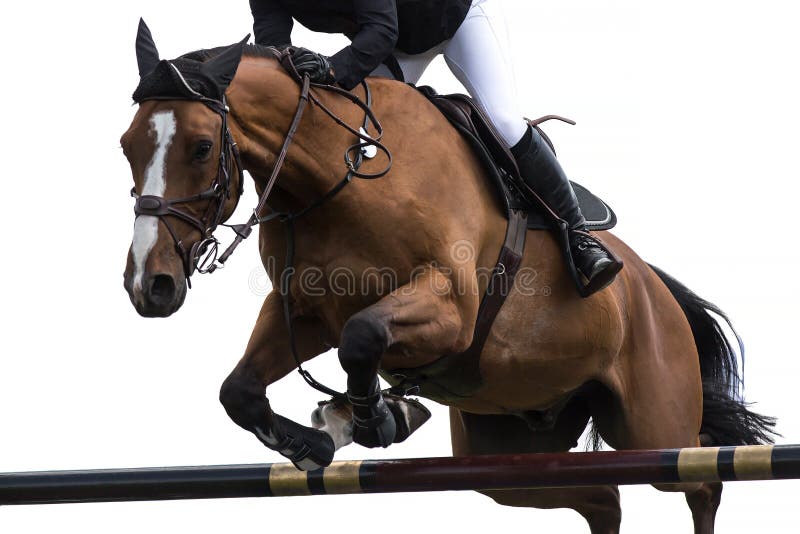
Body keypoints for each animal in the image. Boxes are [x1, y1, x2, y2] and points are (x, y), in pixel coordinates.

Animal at [120, 25, 776, 534]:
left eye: (201, 147)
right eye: (126, 147)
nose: (150, 286)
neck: (337, 177)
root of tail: (655, 288)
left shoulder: (450, 310)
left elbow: (362, 337)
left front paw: (375, 419)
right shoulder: (304, 315)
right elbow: (240, 390)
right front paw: (318, 441)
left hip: (654, 424)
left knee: (701, 481)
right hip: (507, 457)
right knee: (601, 497)